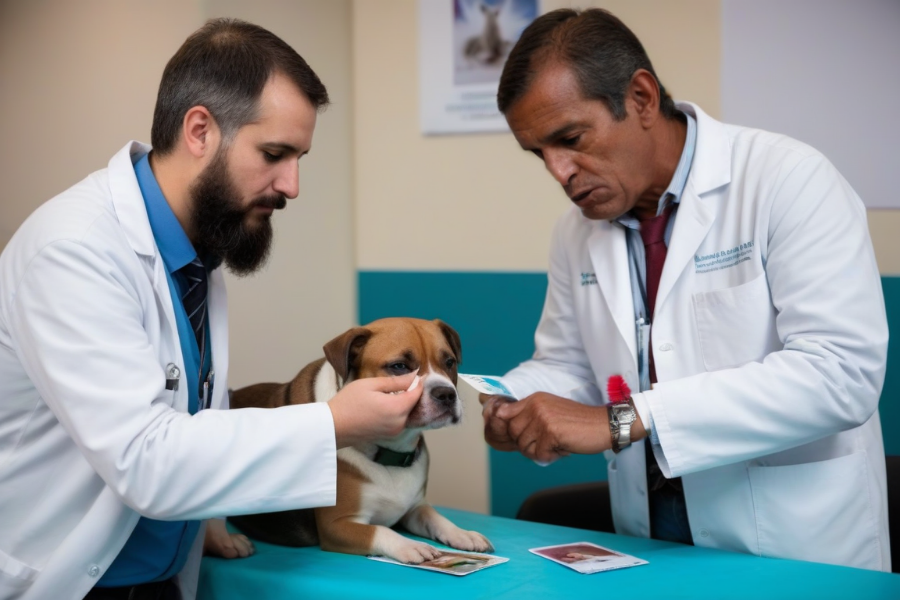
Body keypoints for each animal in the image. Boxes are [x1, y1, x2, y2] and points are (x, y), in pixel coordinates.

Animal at [207, 318, 492, 564]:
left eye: (449, 362)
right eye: (399, 366)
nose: (446, 394)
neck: (389, 451)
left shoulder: (414, 508)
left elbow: (436, 517)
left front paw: (462, 533)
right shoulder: (337, 526)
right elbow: (380, 531)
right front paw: (409, 545)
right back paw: (224, 541)